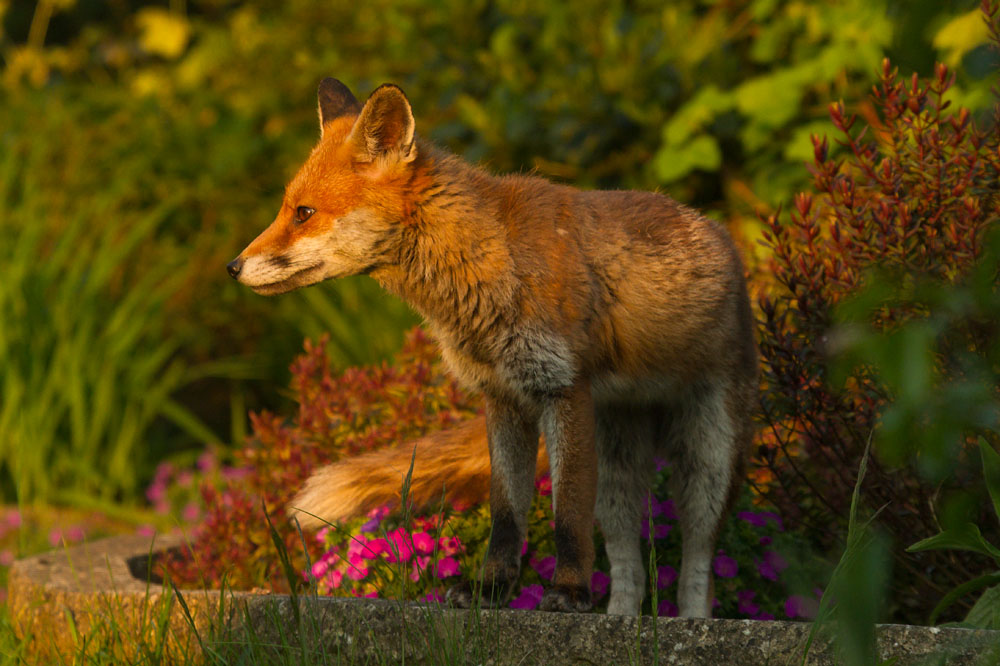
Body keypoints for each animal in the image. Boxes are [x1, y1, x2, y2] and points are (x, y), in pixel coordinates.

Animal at [227, 78, 758, 617]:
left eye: (304, 213)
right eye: (287, 209)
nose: (233, 267)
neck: (487, 265)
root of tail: (721, 235)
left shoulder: (563, 388)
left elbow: (568, 513)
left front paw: (568, 591)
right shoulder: (502, 397)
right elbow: (506, 514)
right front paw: (491, 590)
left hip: (708, 459)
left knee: (698, 562)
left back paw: (691, 617)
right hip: (618, 466)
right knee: (630, 563)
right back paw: (621, 617)